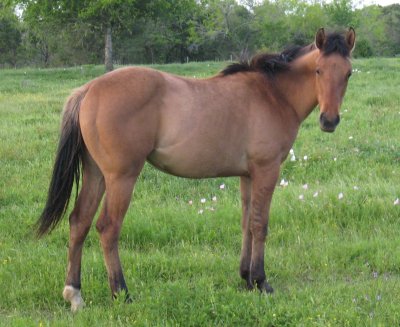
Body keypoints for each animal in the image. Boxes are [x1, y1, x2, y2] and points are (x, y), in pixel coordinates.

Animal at [37, 28, 356, 312]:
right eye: (318, 70)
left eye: (348, 73)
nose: (329, 120)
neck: (272, 94)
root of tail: (89, 89)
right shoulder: (267, 170)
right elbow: (260, 225)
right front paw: (260, 281)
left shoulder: (247, 175)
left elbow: (246, 223)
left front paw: (245, 278)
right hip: (121, 177)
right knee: (107, 228)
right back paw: (121, 293)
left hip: (96, 174)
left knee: (79, 222)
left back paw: (75, 294)